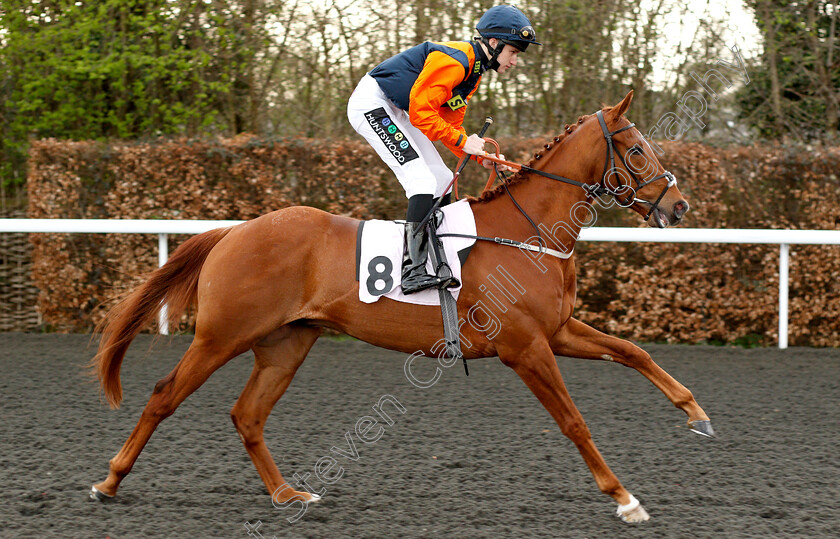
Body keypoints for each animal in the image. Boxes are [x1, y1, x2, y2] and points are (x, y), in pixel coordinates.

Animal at [90, 92, 708, 524]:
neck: (527, 232)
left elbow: (631, 351)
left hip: (287, 342)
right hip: (222, 335)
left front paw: (695, 412)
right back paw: (110, 481)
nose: (678, 207)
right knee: (164, 395)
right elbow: (575, 422)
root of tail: (235, 231)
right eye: (636, 150)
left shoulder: (555, 331)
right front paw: (625, 498)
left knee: (247, 415)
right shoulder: (525, 347)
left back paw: (288, 492)